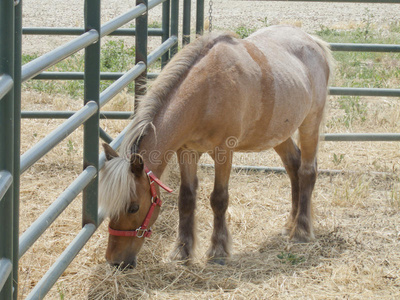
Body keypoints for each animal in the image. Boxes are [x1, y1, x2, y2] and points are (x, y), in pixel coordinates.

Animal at [98, 25, 332, 268]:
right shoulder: (187, 152)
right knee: (293, 167)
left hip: (310, 123)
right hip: (278, 133)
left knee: (306, 172)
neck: (206, 93)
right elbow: (186, 199)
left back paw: (301, 231)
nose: (115, 261)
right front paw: (182, 250)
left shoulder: (223, 153)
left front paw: (218, 250)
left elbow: (219, 199)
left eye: (133, 207)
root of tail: (312, 41)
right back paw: (289, 225)